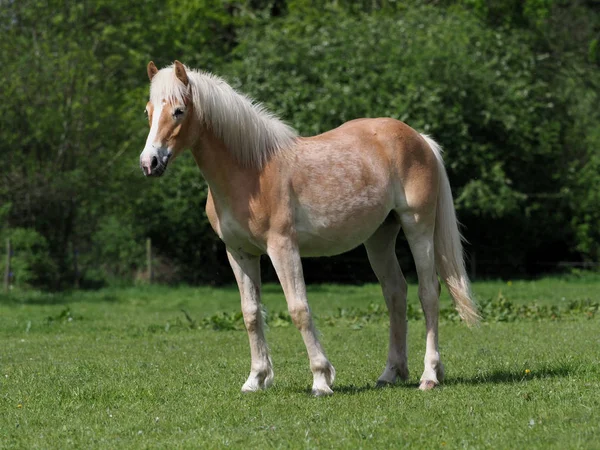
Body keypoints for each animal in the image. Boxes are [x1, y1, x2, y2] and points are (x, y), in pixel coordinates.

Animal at [139, 60, 478, 398]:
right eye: (148, 110)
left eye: (179, 111)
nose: (149, 163)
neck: (250, 171)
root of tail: (420, 138)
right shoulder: (239, 253)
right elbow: (251, 314)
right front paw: (255, 379)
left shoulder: (282, 247)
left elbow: (298, 309)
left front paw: (321, 379)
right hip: (379, 237)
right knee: (395, 293)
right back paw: (390, 373)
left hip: (417, 226)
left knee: (428, 293)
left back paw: (429, 375)